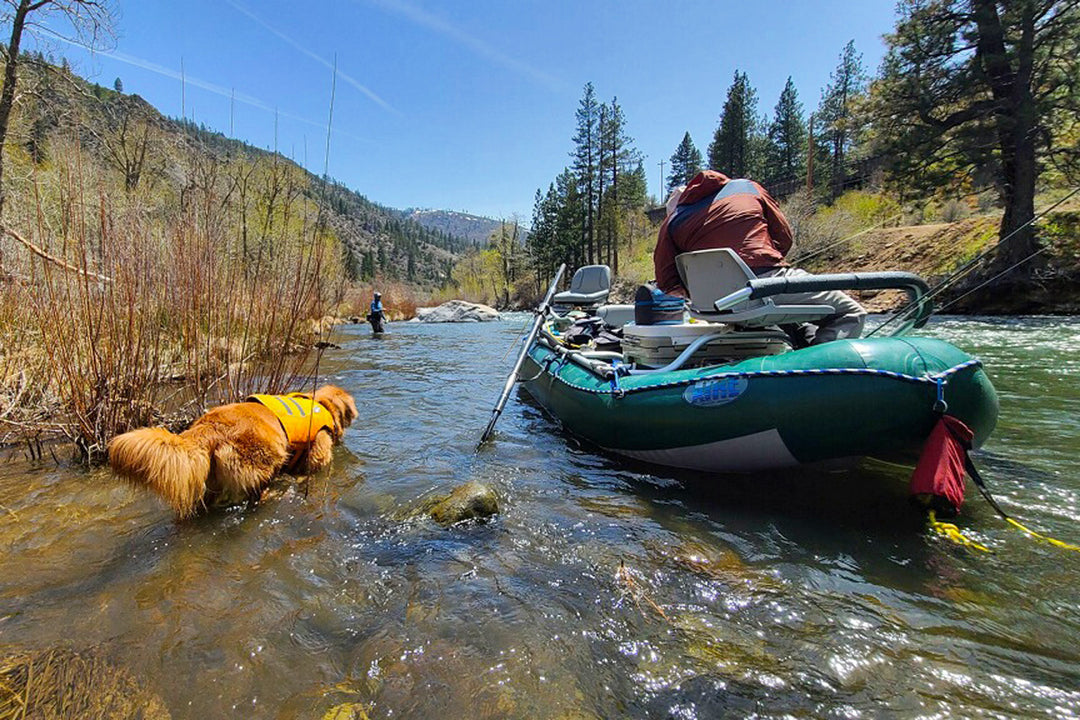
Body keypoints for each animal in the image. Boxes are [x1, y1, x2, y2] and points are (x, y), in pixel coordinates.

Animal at [109, 388, 356, 518]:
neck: (322, 404)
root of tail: (210, 426)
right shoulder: (318, 449)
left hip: (211, 482)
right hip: (265, 462)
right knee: (259, 494)